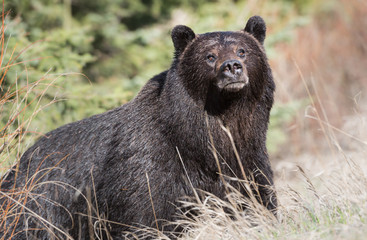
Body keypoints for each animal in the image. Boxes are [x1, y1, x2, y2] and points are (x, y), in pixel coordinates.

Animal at [0, 15, 276, 239]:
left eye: (242, 50)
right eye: (210, 56)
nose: (232, 67)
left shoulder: (247, 159)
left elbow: (257, 200)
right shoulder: (147, 165)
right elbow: (144, 214)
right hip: (36, 205)